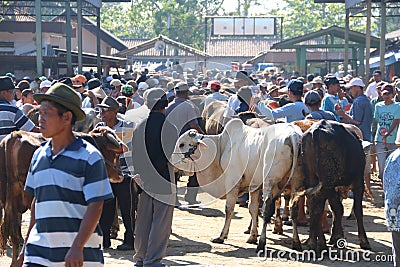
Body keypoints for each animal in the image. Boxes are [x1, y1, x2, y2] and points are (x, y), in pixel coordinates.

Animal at [170, 119, 304, 247]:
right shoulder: (254, 186)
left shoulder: (232, 183)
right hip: (295, 184)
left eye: (182, 144)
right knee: (293, 209)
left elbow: (229, 209)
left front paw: (221, 237)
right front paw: (252, 236)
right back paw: (296, 242)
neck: (221, 147)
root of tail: (293, 135)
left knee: (267, 210)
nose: (171, 162)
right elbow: (253, 209)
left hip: (269, 182)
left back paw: (262, 243)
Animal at [302, 120, 370, 252]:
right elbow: (357, 210)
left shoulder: (335, 189)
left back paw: (313, 241)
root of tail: (316, 130)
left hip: (314, 180)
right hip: (327, 182)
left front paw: (335, 237)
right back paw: (319, 243)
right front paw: (363, 241)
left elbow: (337, 209)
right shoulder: (358, 183)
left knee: (314, 206)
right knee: (318, 207)